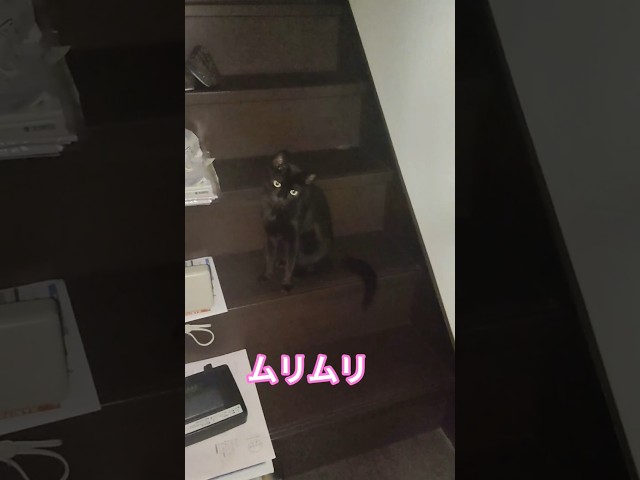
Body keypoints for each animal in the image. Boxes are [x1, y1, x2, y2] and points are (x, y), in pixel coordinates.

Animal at [259, 150, 377, 308]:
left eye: (293, 192)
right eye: (277, 183)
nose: (281, 197)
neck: (278, 212)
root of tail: (333, 249)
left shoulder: (293, 238)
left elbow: (291, 263)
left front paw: (287, 284)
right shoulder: (270, 235)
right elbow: (270, 257)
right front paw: (267, 275)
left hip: (310, 236)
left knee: (309, 262)